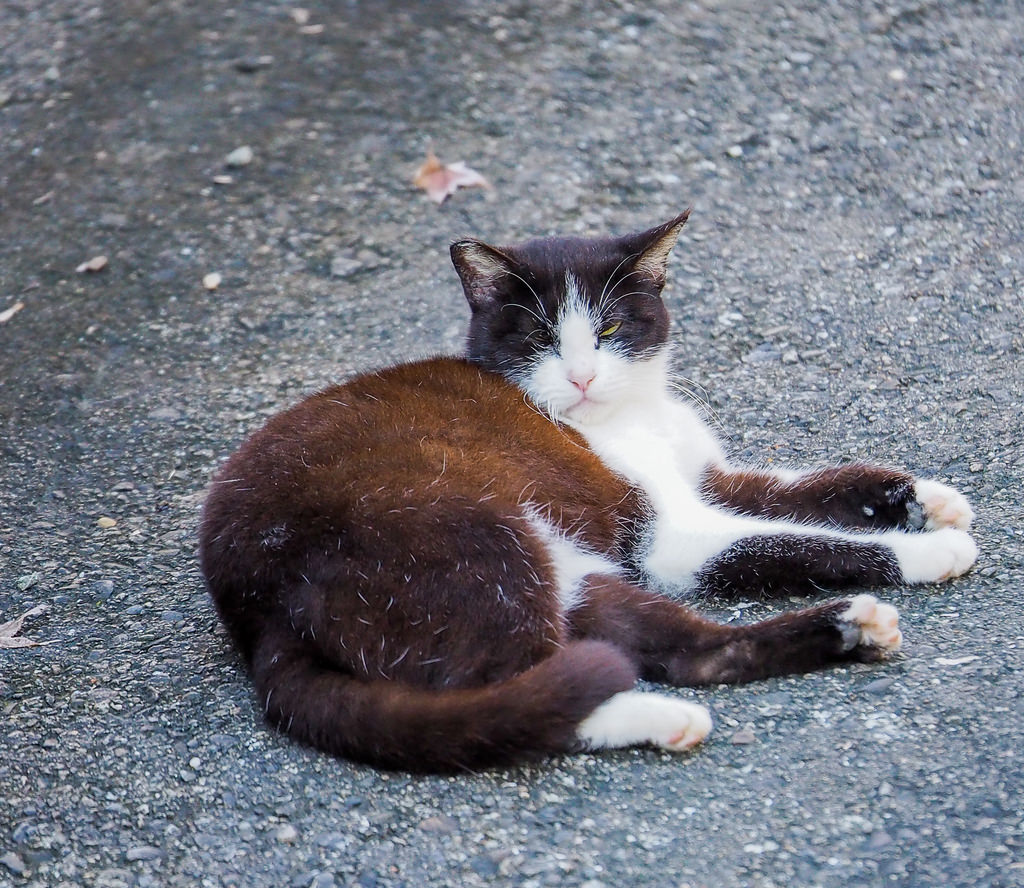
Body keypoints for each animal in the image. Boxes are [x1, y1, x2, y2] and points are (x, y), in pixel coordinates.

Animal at [197, 212, 974, 774]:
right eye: (542, 338)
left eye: (610, 328)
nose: (581, 376)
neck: (630, 416)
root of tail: (263, 613)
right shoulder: (671, 539)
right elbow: (795, 540)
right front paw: (931, 550)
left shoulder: (708, 479)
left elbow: (799, 489)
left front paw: (925, 498)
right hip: (471, 537)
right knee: (517, 690)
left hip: (567, 569)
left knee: (687, 653)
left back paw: (842, 632)